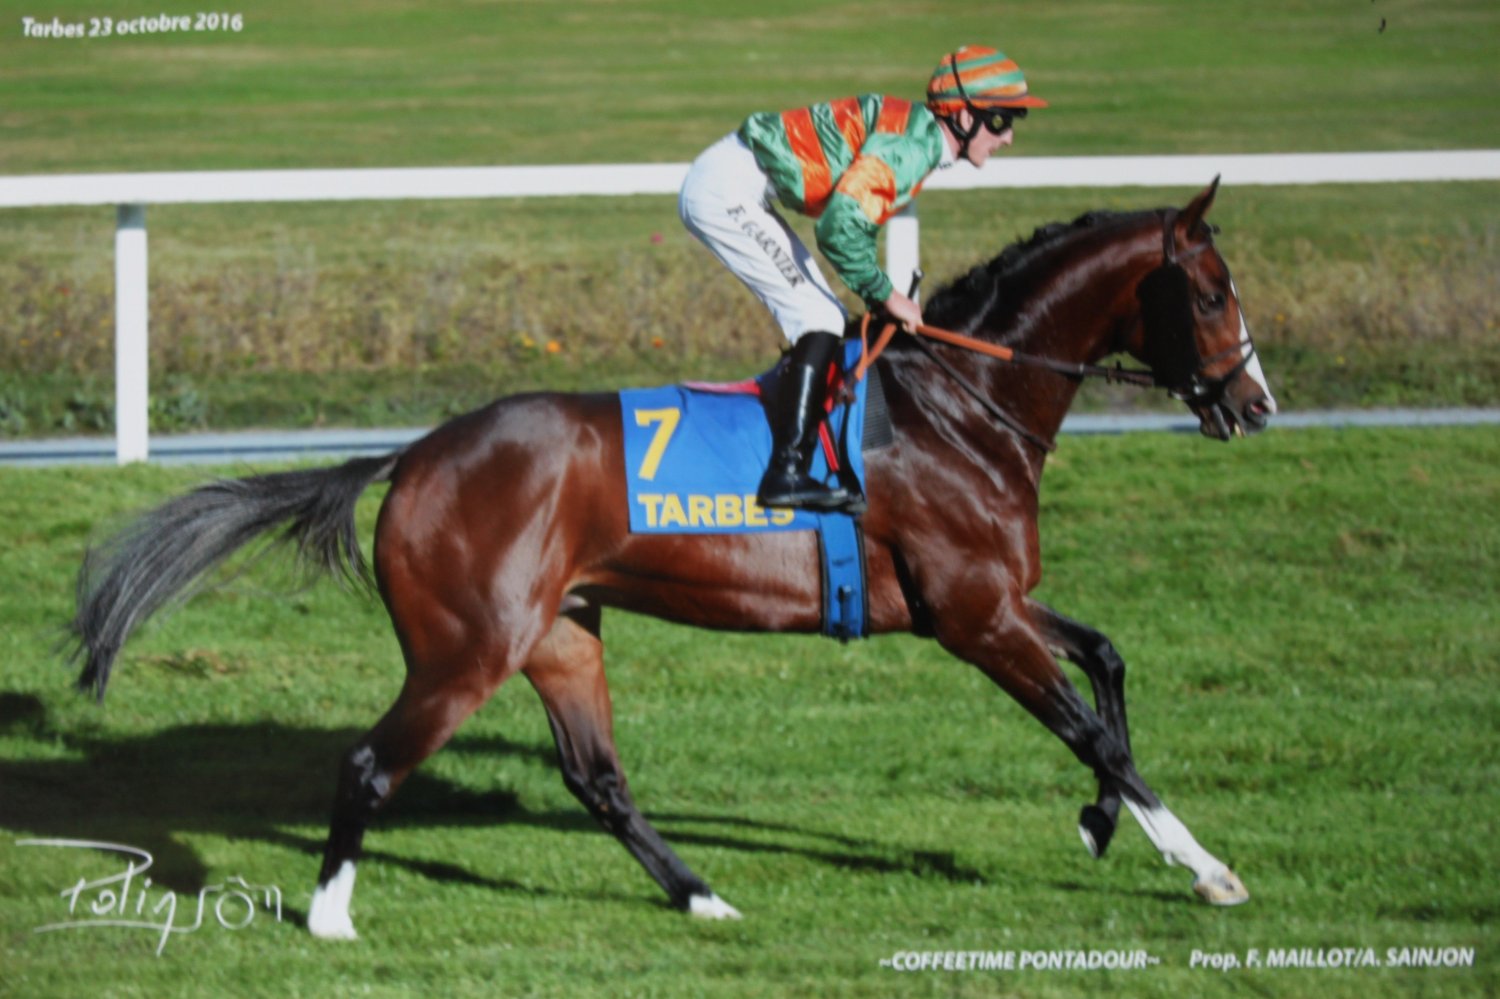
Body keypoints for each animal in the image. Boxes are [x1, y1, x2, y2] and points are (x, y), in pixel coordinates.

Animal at [69, 178, 1274, 939]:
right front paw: (1207, 867)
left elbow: (1107, 660)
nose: (1255, 405)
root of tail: (413, 457)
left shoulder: (988, 599)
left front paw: (1100, 824)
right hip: (468, 648)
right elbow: (1091, 730)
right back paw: (327, 919)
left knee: (597, 778)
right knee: (372, 762)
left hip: (560, 632)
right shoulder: (973, 615)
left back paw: (702, 897)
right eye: (1213, 293)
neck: (958, 408)